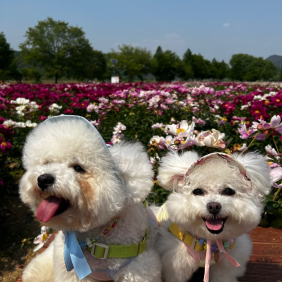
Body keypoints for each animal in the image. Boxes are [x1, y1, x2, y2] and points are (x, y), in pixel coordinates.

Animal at [155, 151, 272, 282]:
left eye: (228, 191)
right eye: (197, 191)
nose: (214, 206)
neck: (210, 241)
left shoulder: (226, 266)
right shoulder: (176, 265)